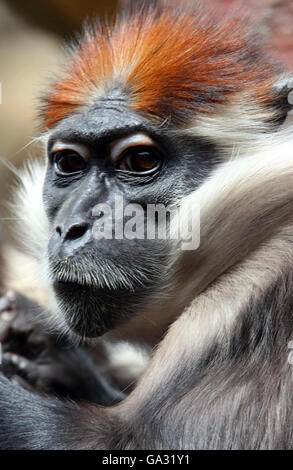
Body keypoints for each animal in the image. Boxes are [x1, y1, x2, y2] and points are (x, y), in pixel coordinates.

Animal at [0, 0, 292, 448]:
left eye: (140, 160)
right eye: (69, 163)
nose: (72, 227)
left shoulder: (254, 293)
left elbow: (124, 440)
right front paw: (46, 348)